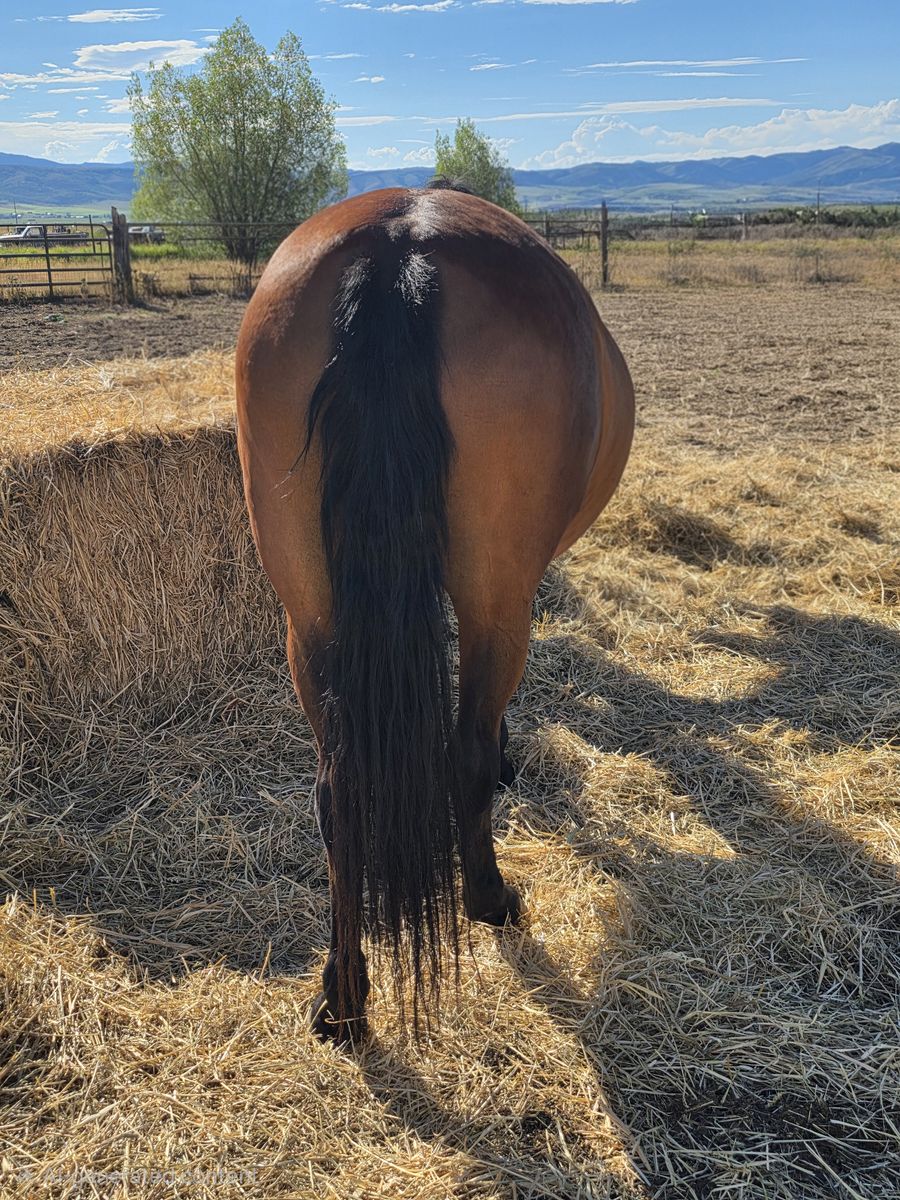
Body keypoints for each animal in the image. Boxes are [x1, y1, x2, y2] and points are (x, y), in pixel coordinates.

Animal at [235, 183, 634, 1043]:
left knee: (337, 792)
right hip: (493, 599)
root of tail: (399, 248)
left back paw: (344, 998)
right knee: (464, 757)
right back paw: (488, 899)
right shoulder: (511, 598)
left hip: (309, 619)